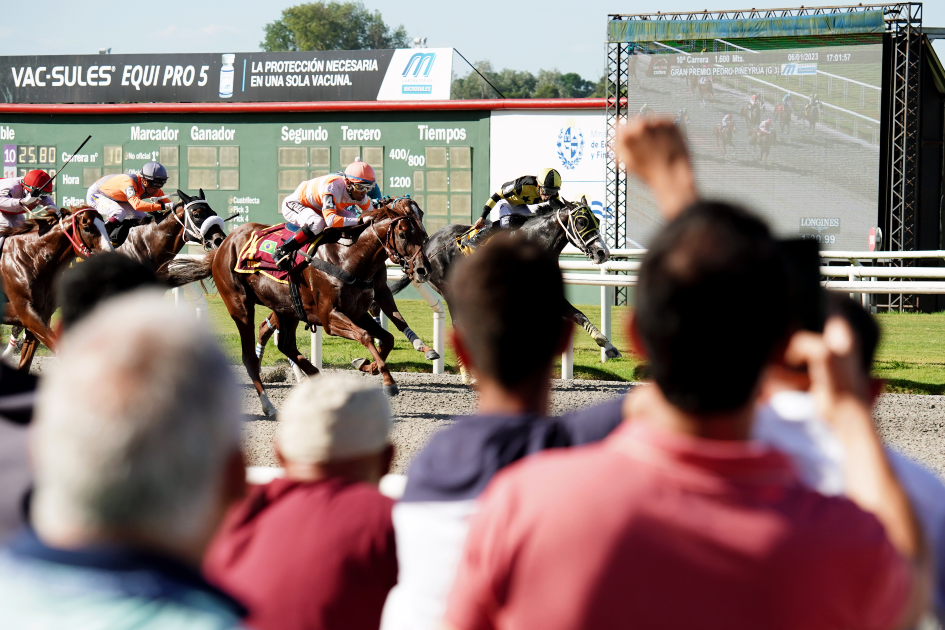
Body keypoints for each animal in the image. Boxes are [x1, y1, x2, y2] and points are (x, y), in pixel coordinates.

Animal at [0, 207, 113, 372]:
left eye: (105, 225)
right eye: (87, 228)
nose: (110, 256)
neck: (32, 258)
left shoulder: (41, 316)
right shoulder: (27, 312)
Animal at [166, 200, 428, 418]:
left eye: (423, 234)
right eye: (403, 234)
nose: (423, 269)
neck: (347, 256)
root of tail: (222, 246)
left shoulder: (357, 312)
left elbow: (387, 338)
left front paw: (367, 365)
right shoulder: (329, 317)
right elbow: (365, 336)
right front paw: (388, 381)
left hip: (286, 306)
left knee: (286, 344)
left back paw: (316, 378)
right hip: (241, 307)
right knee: (250, 357)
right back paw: (269, 406)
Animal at [388, 200, 616, 376]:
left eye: (597, 220)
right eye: (581, 221)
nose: (602, 252)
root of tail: (428, 244)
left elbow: (578, 315)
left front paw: (609, 346)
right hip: (447, 288)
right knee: (459, 324)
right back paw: (467, 373)